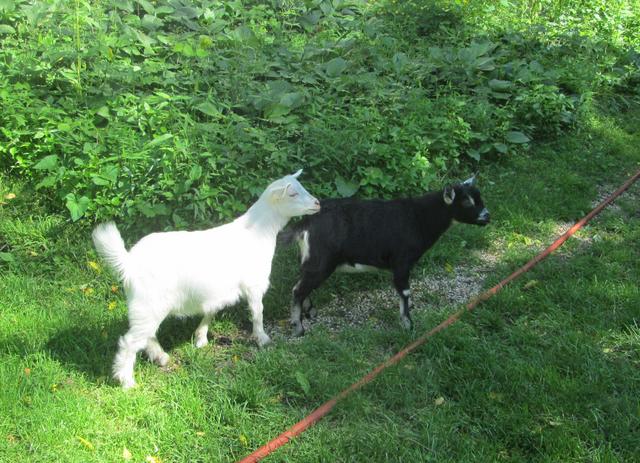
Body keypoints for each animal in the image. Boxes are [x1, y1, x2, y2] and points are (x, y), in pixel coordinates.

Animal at [92, 170, 320, 389]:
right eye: (292, 194)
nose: (317, 203)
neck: (257, 232)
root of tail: (128, 263)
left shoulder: (218, 291)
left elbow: (211, 311)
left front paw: (200, 338)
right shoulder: (253, 285)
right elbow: (257, 313)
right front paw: (263, 340)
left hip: (146, 306)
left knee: (146, 335)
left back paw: (161, 357)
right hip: (148, 304)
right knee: (130, 341)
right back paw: (127, 382)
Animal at [279, 176, 490, 336]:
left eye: (480, 198)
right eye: (467, 202)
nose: (487, 216)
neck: (419, 218)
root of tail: (306, 222)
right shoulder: (402, 261)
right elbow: (404, 291)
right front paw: (408, 324)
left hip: (311, 259)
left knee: (302, 284)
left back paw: (310, 312)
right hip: (322, 261)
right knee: (298, 290)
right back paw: (298, 328)